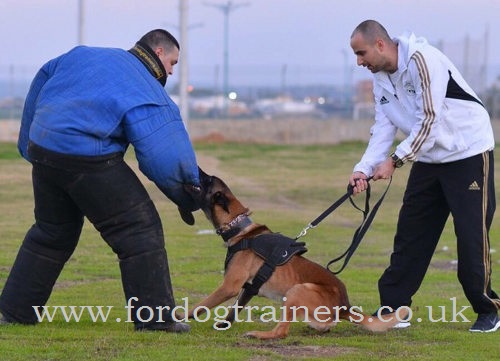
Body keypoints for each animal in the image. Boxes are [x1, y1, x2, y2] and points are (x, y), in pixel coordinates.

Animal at [180, 168, 406, 338]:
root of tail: (344, 307)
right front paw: (223, 325)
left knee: (281, 331)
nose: (193, 170)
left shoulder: (229, 286)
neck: (241, 230)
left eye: (207, 180)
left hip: (296, 290)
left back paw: (258, 334)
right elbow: (234, 310)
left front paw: (179, 316)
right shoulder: (248, 289)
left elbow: (200, 305)